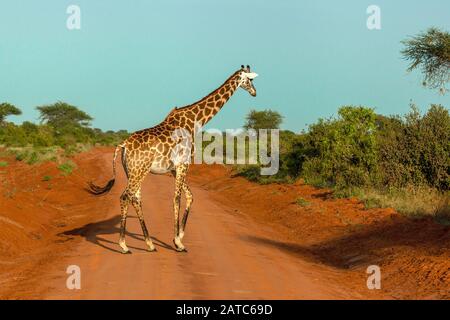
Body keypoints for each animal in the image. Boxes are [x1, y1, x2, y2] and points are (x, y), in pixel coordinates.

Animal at [87, 65, 258, 252]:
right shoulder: (184, 164)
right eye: (250, 80)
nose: (254, 92)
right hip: (140, 170)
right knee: (125, 197)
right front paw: (178, 242)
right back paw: (124, 245)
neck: (195, 121)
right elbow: (177, 198)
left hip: (131, 171)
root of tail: (123, 145)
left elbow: (190, 196)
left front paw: (180, 236)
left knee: (136, 198)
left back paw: (150, 244)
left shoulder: (175, 168)